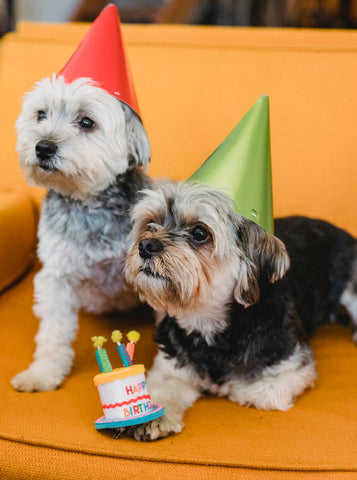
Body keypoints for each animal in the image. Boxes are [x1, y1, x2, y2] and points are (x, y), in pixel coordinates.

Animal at [11, 75, 152, 390]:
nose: (43, 147)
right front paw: (43, 374)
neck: (89, 204)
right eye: (41, 115)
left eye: (87, 122)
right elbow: (53, 333)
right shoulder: (56, 278)